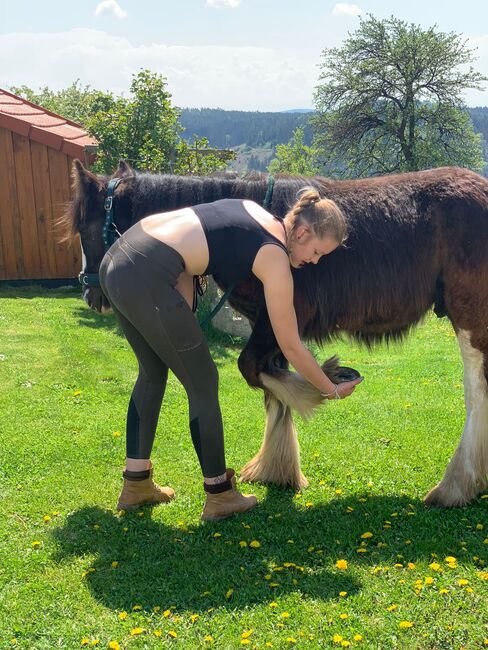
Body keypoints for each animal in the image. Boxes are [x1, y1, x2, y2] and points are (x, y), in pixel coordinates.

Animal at [63, 158, 488, 506]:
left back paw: (456, 487)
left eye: (85, 226)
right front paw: (276, 469)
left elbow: (253, 369)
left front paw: (315, 392)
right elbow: (271, 381)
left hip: (470, 319)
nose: (91, 294)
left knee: (476, 392)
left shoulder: (278, 320)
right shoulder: (272, 323)